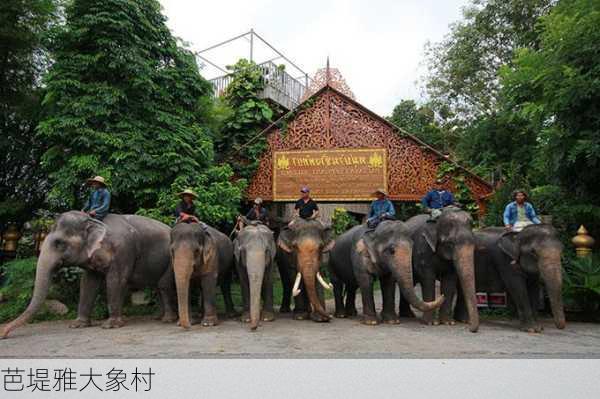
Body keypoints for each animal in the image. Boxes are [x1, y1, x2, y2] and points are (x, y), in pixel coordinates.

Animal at [1, 211, 177, 340]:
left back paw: (167, 320)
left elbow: (116, 281)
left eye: (59, 243)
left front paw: (110, 326)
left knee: (163, 286)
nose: (3, 333)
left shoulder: (123, 251)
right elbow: (88, 283)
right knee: (157, 287)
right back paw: (158, 317)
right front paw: (77, 325)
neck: (93, 221)